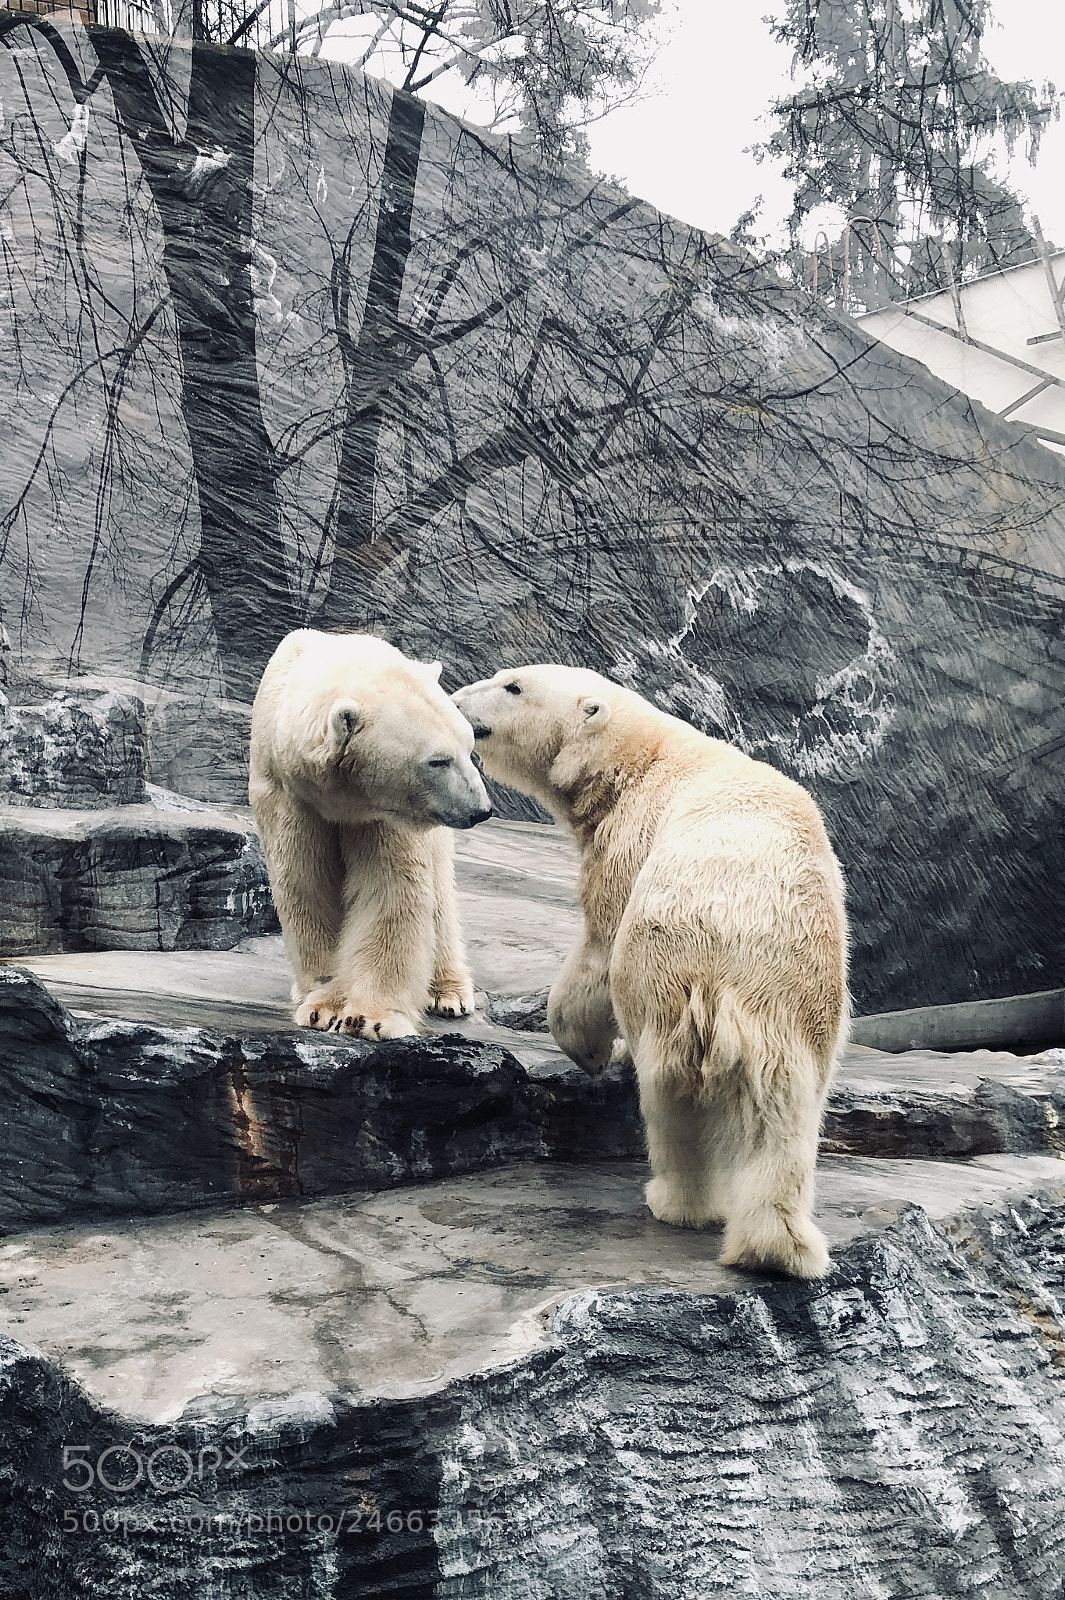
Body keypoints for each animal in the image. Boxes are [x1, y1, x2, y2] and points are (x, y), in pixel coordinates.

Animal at [250, 630, 492, 1038]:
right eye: (437, 760)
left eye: (469, 748)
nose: (481, 809)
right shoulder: (288, 793)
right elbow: (307, 883)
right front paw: (323, 1008)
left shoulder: (385, 814)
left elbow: (390, 889)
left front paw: (371, 1018)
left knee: (440, 893)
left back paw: (449, 993)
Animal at [452, 663, 849, 1278]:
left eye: (513, 686)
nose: (452, 699)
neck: (639, 756)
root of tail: (733, 938)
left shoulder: (627, 839)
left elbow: (595, 952)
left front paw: (592, 1051)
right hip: (799, 1000)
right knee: (784, 1114)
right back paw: (777, 1248)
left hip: (661, 972)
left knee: (671, 1100)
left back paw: (675, 1201)